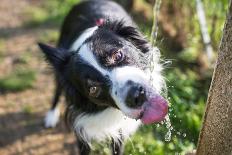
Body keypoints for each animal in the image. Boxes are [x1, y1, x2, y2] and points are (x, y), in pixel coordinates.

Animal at [38, 0, 169, 154]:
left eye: (117, 55)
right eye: (93, 89)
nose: (136, 95)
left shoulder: (120, 132)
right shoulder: (82, 132)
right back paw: (51, 115)